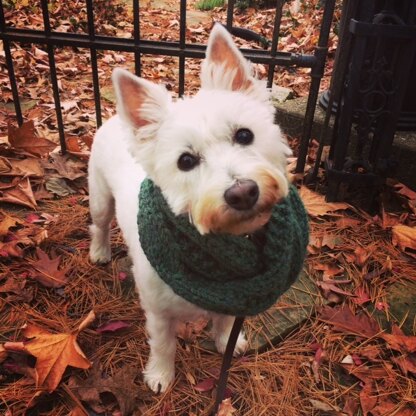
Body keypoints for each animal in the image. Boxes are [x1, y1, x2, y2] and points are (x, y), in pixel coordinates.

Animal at [88, 23, 290, 394]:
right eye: (186, 161)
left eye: (244, 135)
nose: (242, 193)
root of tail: (112, 120)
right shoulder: (157, 311)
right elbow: (163, 344)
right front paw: (160, 376)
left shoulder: (231, 298)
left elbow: (225, 323)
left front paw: (227, 344)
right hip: (99, 196)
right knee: (100, 223)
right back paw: (99, 251)